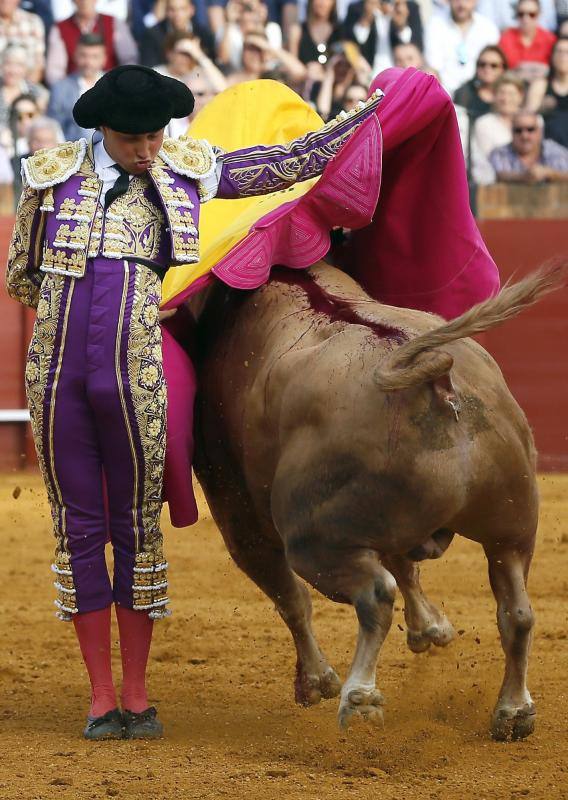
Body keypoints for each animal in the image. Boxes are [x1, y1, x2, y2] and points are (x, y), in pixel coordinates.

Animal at [190, 260, 564, 740]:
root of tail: (434, 378)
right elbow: (404, 565)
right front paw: (432, 629)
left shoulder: (238, 514)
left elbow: (290, 597)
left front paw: (316, 682)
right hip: (512, 528)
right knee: (516, 611)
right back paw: (514, 711)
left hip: (313, 541)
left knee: (373, 595)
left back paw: (359, 698)